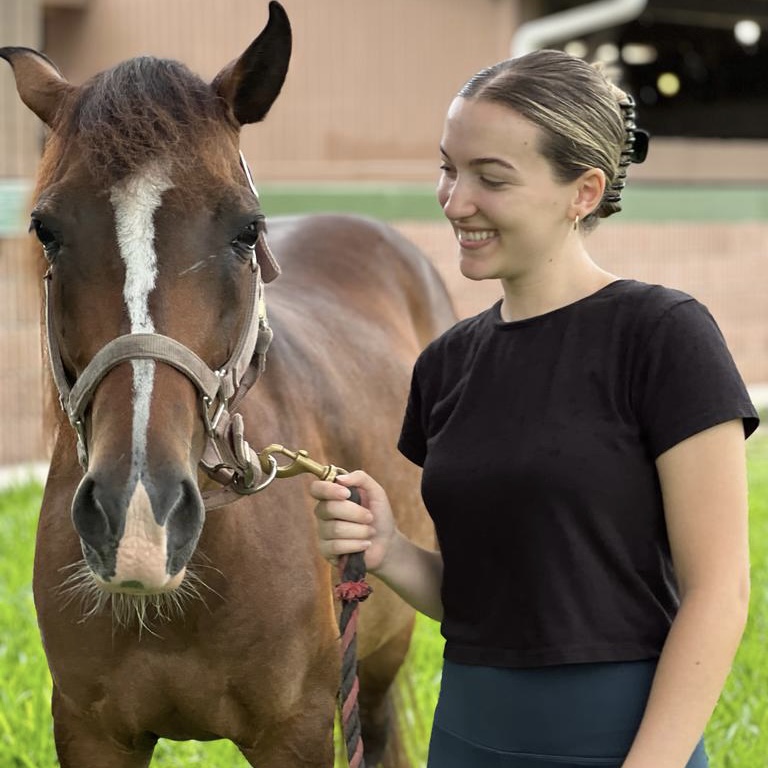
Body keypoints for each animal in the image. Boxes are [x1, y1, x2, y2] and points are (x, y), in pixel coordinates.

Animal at [0, 3, 452, 764]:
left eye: (247, 230)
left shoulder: (297, 730)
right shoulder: (91, 732)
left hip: (383, 654)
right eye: (46, 230)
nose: (139, 517)